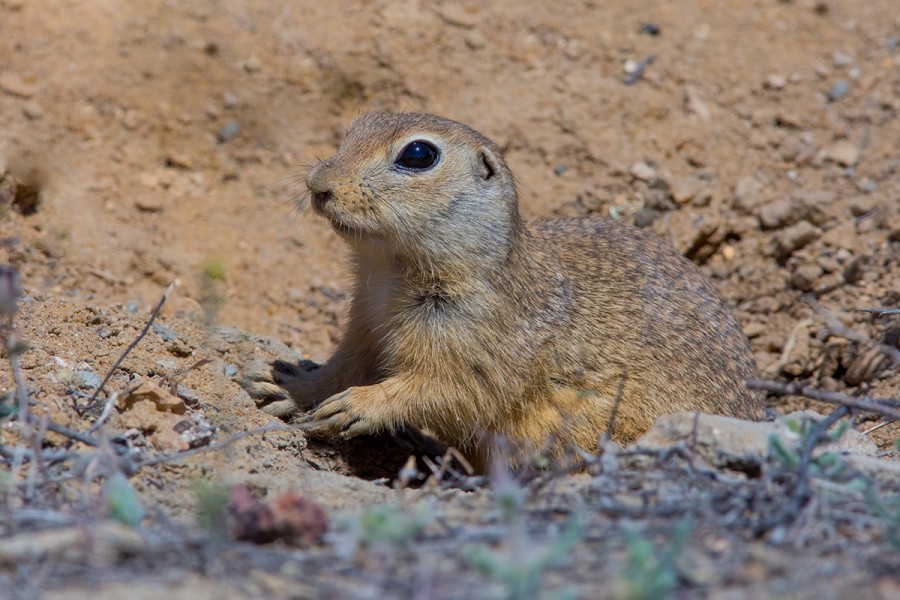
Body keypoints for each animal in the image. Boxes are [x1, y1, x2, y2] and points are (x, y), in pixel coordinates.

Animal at [243, 111, 764, 468]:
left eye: (418, 154)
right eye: (354, 128)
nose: (318, 184)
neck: (389, 271)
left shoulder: (477, 335)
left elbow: (450, 389)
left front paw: (359, 406)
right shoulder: (364, 324)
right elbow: (339, 369)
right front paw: (282, 386)